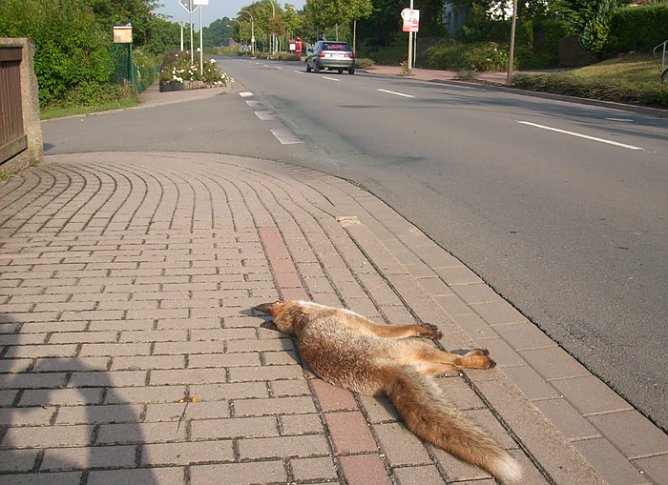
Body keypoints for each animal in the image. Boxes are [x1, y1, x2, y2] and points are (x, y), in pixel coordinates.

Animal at [253, 300, 522, 484]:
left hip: (424, 366)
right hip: (419, 349)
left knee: (452, 365)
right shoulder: (373, 326)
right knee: (456, 361)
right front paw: (429, 329)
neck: (301, 319)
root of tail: (387, 373)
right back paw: (480, 360)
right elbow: (406, 326)